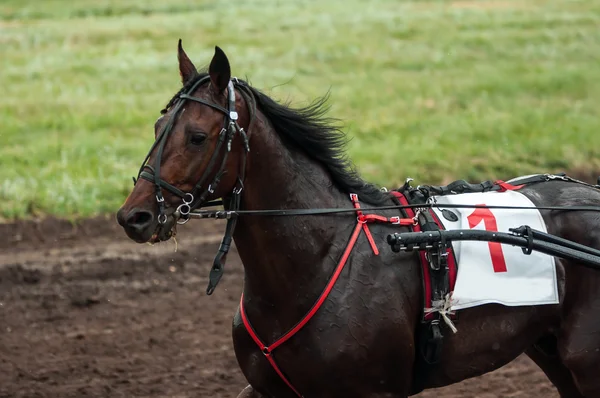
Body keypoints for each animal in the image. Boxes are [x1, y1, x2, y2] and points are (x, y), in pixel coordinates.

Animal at [115, 42, 600, 396]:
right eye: (158, 129)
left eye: (197, 136)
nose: (134, 215)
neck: (317, 261)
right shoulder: (270, 389)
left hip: (585, 360)